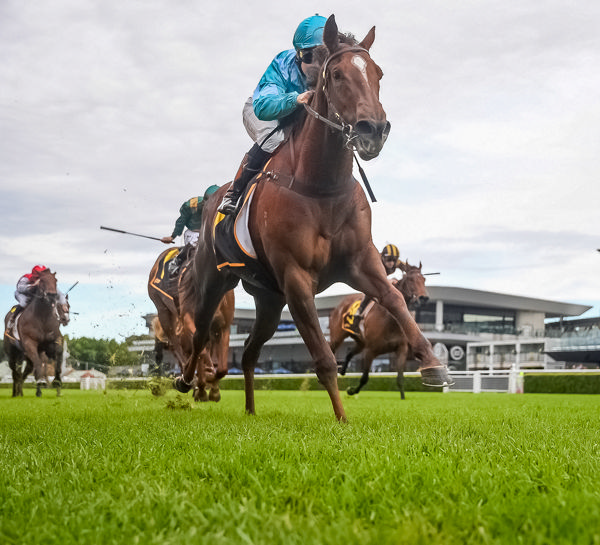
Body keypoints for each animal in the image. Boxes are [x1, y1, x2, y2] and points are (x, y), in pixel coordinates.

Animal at [2, 270, 64, 398]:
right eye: (42, 281)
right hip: (12, 352)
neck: (42, 317)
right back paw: (16, 392)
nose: (52, 295)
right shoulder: (29, 343)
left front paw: (57, 381)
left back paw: (20, 392)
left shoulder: (52, 342)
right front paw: (40, 385)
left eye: (55, 280)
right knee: (15, 372)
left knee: (23, 372)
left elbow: (59, 355)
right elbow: (38, 364)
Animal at [328, 258, 432, 396]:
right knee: (330, 349)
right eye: (410, 280)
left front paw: (403, 397)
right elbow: (364, 377)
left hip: (361, 342)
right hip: (338, 336)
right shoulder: (371, 350)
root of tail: (338, 307)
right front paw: (352, 390)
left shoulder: (401, 349)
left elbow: (400, 378)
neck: (391, 320)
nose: (424, 298)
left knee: (349, 353)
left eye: (424, 279)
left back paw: (343, 370)